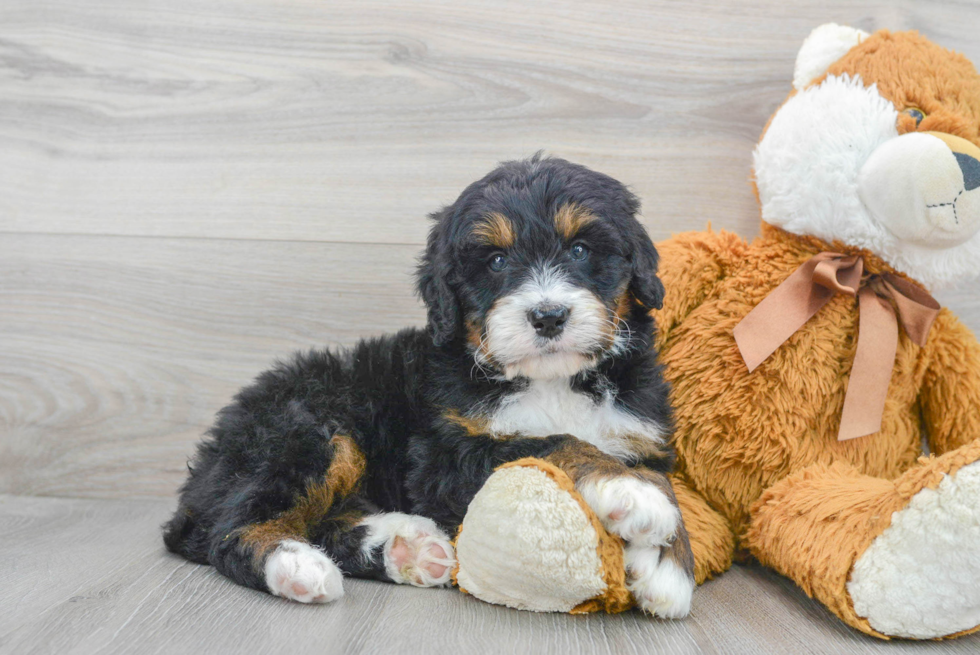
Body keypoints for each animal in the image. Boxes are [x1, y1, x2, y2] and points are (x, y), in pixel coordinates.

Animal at [163, 156, 696, 616]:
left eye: (580, 250)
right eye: (496, 261)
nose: (548, 316)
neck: (552, 379)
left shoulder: (640, 432)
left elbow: (665, 483)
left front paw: (667, 565)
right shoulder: (443, 455)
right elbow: (550, 444)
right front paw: (628, 491)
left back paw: (405, 548)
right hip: (308, 428)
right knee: (227, 531)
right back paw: (297, 566)